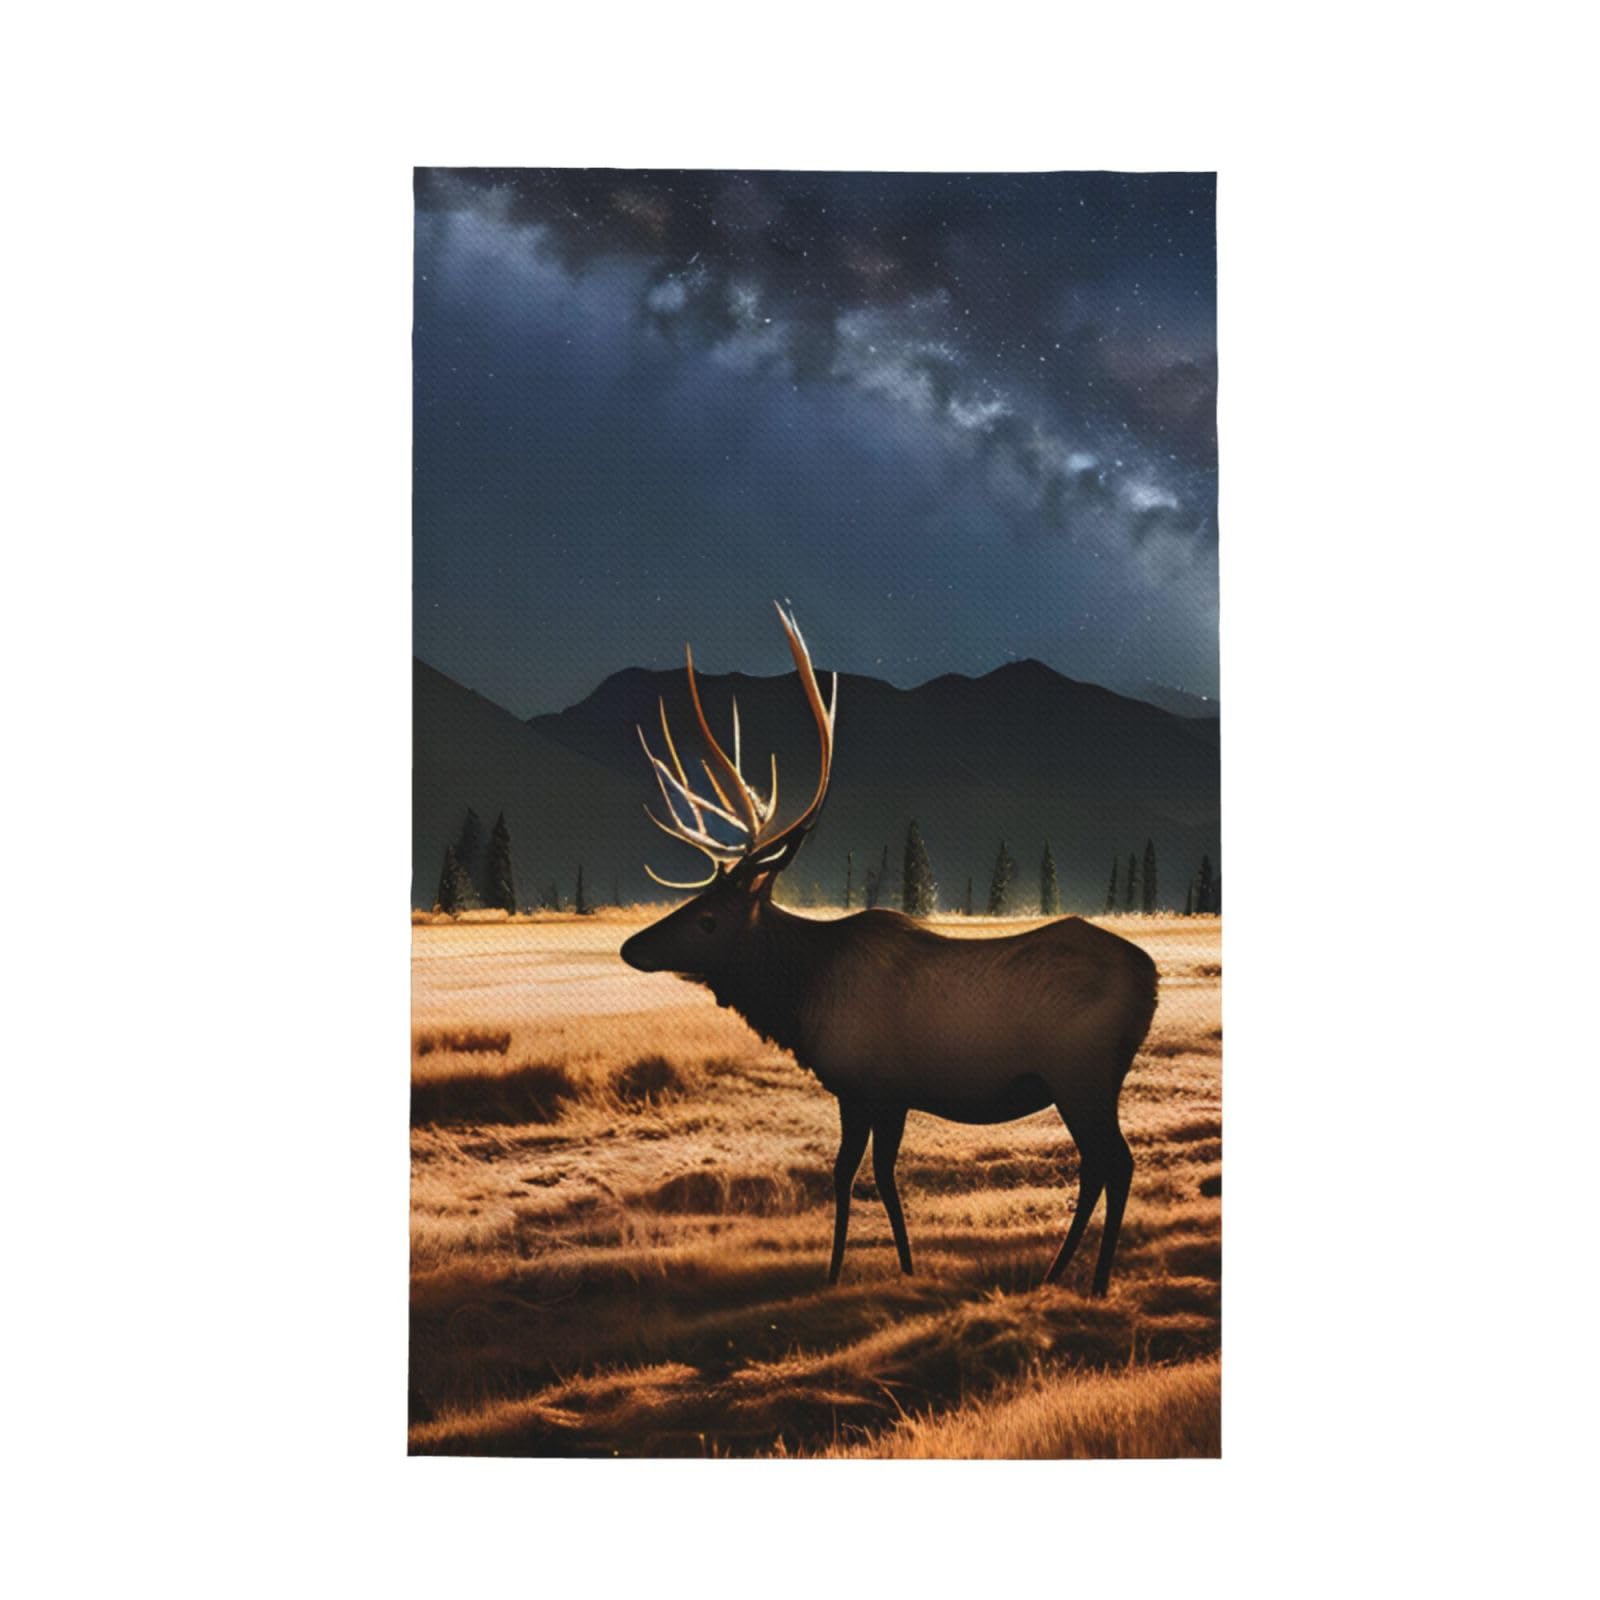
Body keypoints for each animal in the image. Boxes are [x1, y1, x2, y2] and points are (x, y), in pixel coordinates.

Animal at [619, 605, 1158, 1296]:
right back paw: (1056, 1270)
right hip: (1089, 1084)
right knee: (1097, 1166)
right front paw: (897, 1262)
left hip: (1081, 1074)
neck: (802, 996)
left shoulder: (864, 1086)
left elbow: (853, 1175)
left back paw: (1093, 1281)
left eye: (709, 919)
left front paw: (844, 1270)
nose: (632, 946)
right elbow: (879, 1174)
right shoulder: (886, 1096)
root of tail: (1152, 979)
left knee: (1116, 1163)